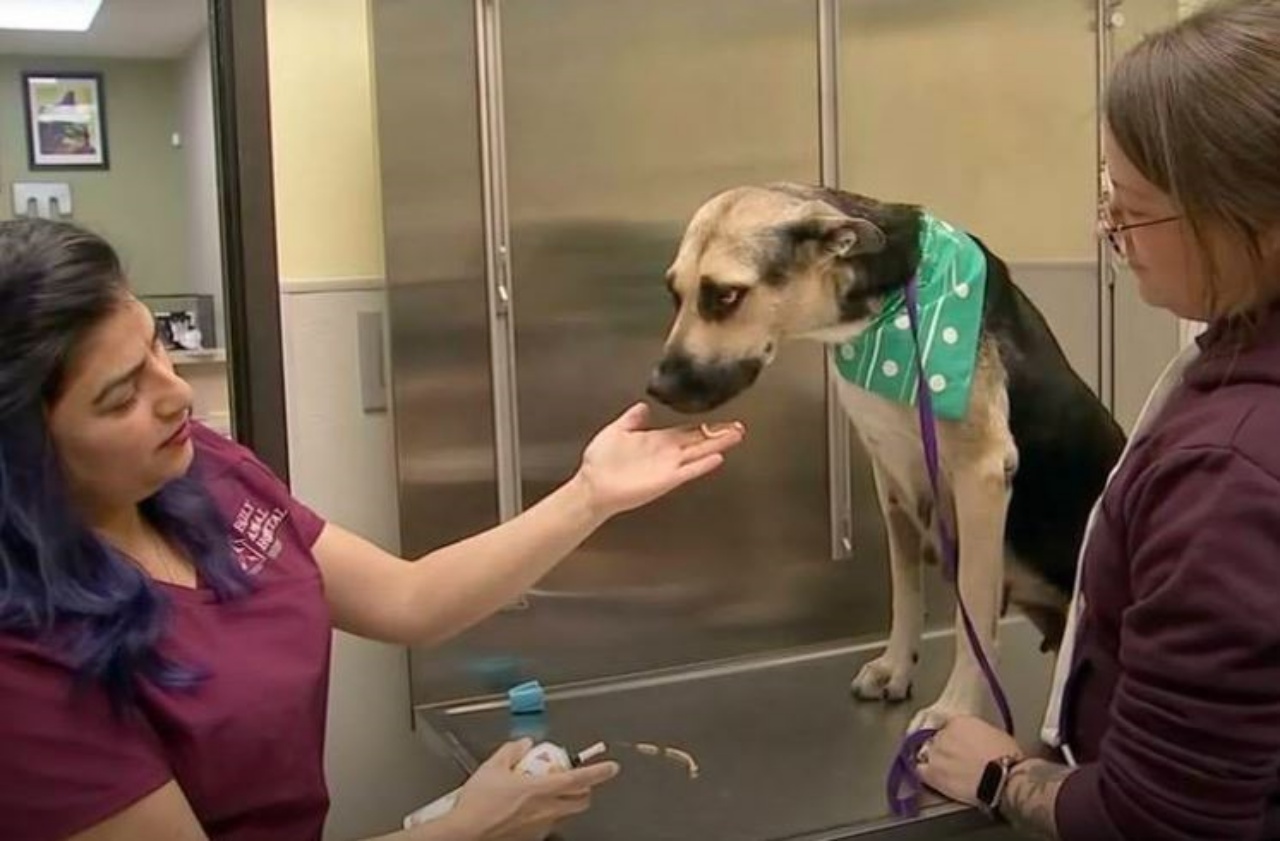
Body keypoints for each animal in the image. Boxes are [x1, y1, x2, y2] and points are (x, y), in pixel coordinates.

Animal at [650, 181, 1121, 727]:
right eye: (674, 293)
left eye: (725, 295)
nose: (656, 388)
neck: (885, 311)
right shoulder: (892, 476)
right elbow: (905, 590)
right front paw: (897, 667)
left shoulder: (981, 477)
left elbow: (973, 618)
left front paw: (955, 711)